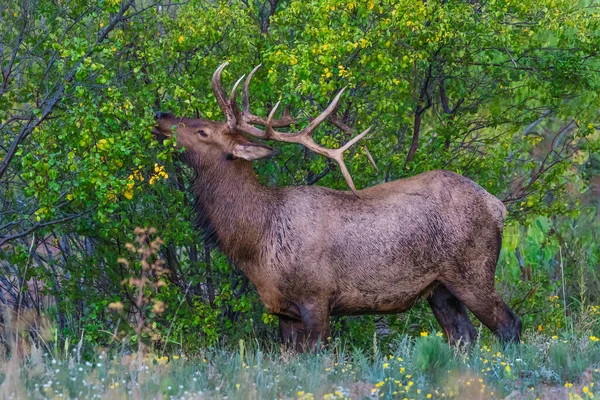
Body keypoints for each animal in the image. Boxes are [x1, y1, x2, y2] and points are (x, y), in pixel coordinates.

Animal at [154, 61, 520, 350]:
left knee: (509, 325)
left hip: (473, 271)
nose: (160, 114)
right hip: (440, 288)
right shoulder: (284, 310)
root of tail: (497, 206)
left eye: (202, 131)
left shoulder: (316, 296)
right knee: (463, 336)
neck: (257, 240)